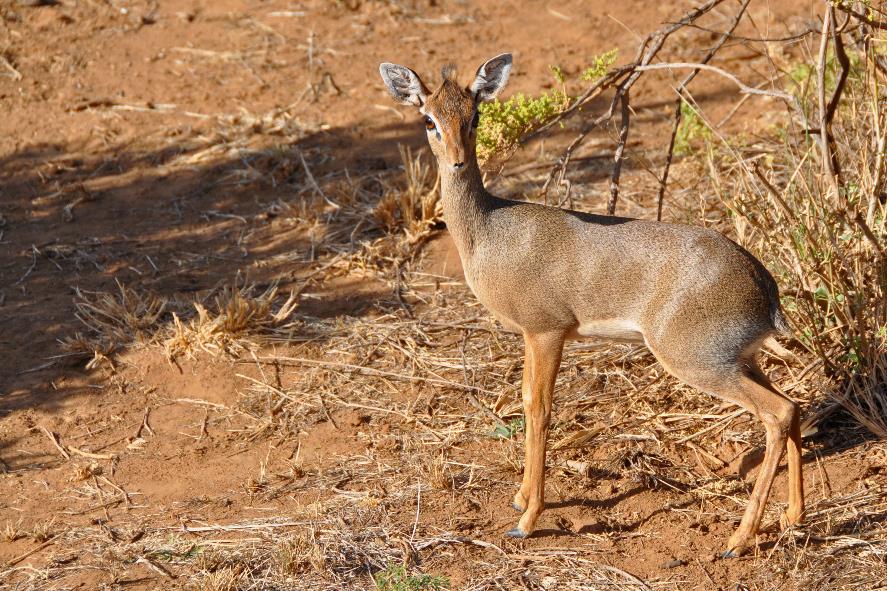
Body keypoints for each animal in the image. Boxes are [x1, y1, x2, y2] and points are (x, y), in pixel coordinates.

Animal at [378, 53, 808, 556]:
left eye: (475, 116)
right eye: (429, 119)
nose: (458, 160)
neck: (488, 230)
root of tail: (764, 285)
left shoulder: (547, 330)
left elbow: (540, 408)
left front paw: (527, 519)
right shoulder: (530, 334)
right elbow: (527, 401)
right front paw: (520, 497)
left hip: (701, 363)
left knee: (777, 415)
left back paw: (737, 540)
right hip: (743, 359)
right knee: (794, 406)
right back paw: (793, 516)